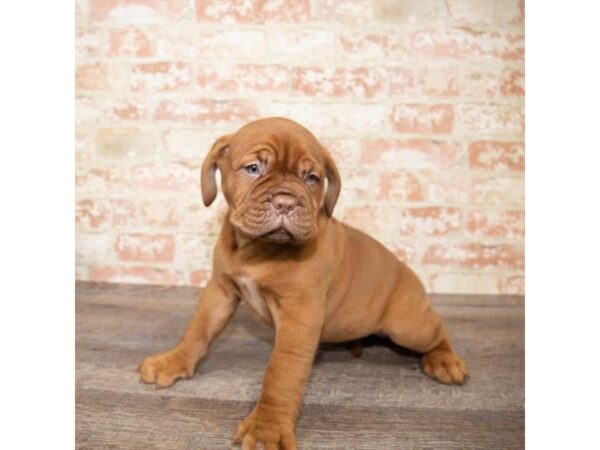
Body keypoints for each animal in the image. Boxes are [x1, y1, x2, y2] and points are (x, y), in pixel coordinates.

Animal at [139, 117, 468, 450]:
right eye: (253, 168)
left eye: (311, 178)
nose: (286, 201)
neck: (258, 249)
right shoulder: (220, 289)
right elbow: (199, 329)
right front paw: (173, 361)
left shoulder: (300, 312)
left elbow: (282, 372)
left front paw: (266, 427)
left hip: (407, 327)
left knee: (437, 330)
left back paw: (445, 360)